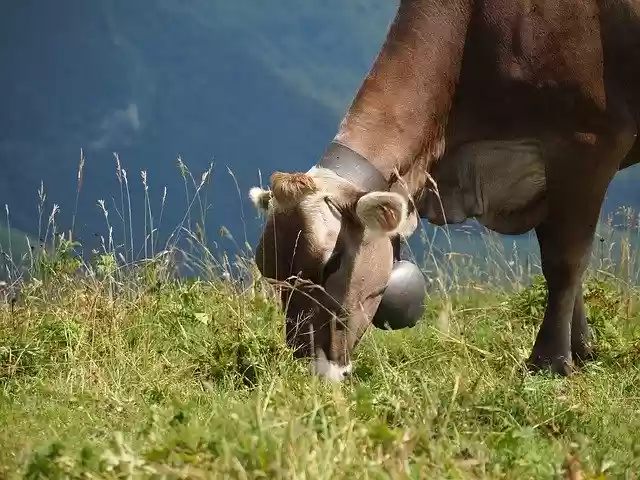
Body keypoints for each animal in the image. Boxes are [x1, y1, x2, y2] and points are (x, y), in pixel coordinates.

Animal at [248, 0, 640, 381]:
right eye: (271, 273)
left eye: (331, 264)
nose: (306, 365)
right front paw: (582, 350)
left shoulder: (589, 143)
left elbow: (564, 261)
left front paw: (551, 361)